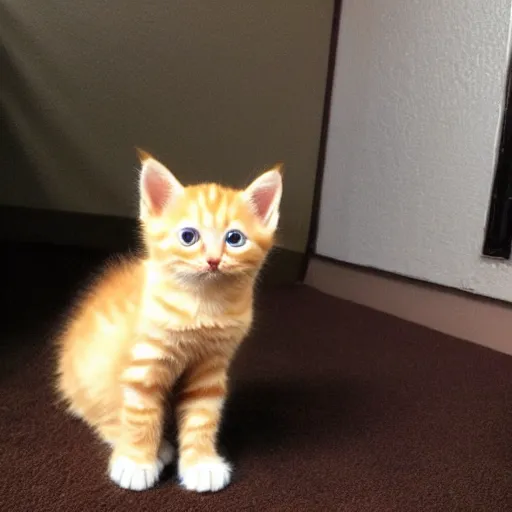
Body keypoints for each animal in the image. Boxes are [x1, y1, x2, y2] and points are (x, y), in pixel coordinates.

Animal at [56, 152, 284, 492]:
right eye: (189, 237)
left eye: (234, 239)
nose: (213, 260)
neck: (204, 305)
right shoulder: (143, 364)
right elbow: (140, 416)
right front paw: (137, 462)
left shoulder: (210, 367)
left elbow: (203, 416)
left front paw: (201, 464)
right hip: (95, 373)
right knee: (102, 416)